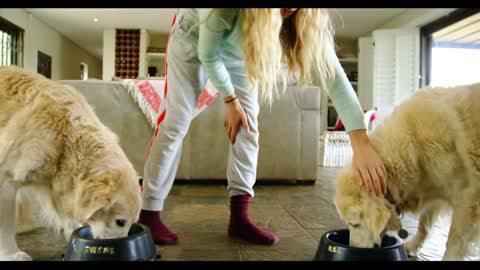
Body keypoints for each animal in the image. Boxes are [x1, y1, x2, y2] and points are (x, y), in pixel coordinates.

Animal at [334, 83, 480, 260]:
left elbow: (454, 239)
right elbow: (424, 224)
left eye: (354, 224)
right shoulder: (435, 192)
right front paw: (412, 245)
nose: (352, 248)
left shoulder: (468, 199)